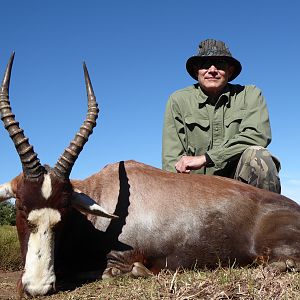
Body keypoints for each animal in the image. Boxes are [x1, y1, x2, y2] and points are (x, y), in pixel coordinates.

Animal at [0, 54, 300, 298]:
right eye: (21, 206)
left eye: (63, 212)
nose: (37, 288)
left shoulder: (124, 256)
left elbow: (111, 271)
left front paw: (136, 271)